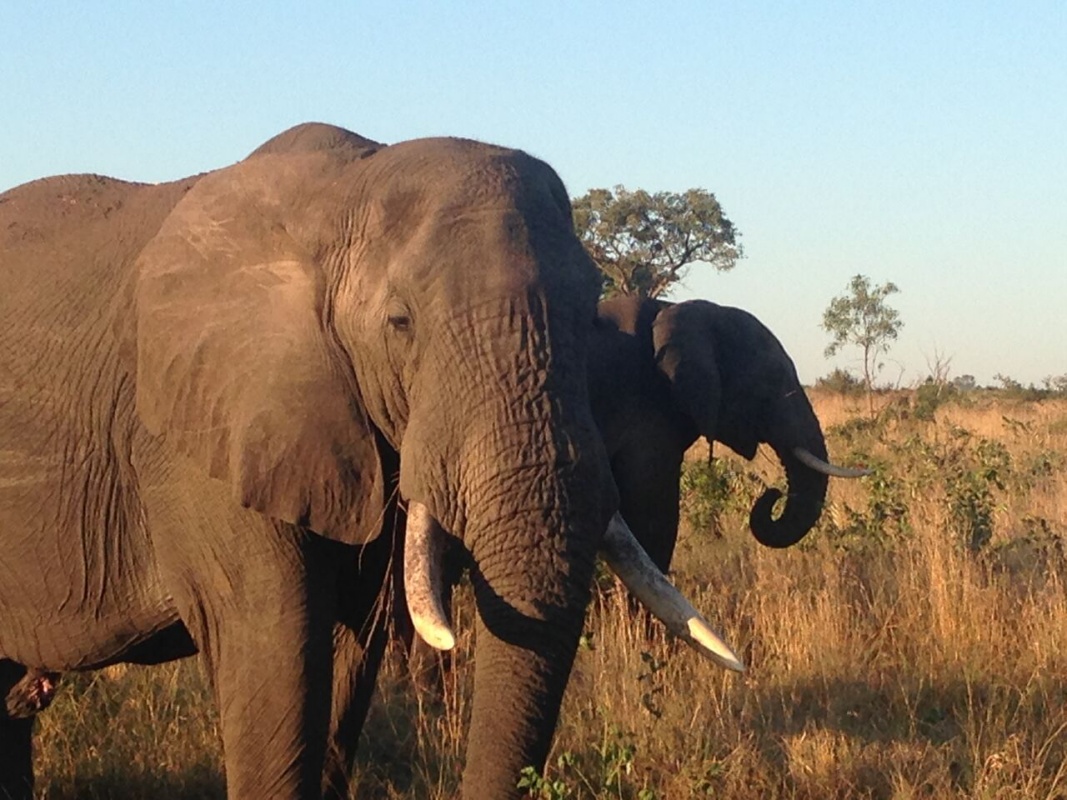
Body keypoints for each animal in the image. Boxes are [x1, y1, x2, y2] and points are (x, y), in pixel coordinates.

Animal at [0, 122, 734, 797]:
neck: (345, 191)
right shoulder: (196, 445)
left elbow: (349, 651)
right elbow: (276, 655)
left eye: (587, 313)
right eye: (400, 323)